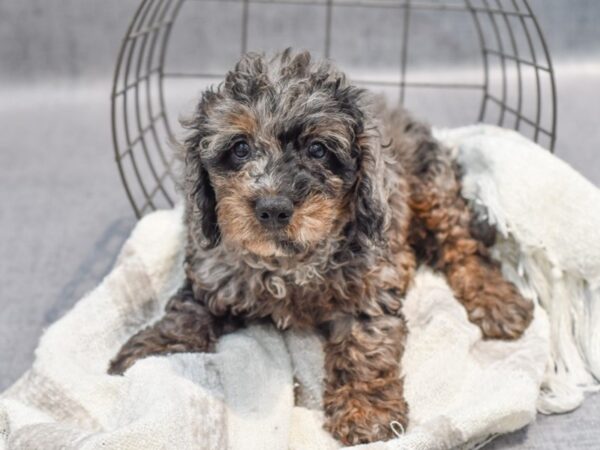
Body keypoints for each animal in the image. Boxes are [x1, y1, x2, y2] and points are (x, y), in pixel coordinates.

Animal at [109, 50, 536, 446]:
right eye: (240, 148)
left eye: (317, 150)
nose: (273, 208)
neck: (290, 262)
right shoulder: (213, 274)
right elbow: (185, 314)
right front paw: (147, 352)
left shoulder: (369, 284)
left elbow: (365, 343)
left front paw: (366, 409)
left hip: (434, 190)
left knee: (463, 246)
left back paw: (497, 301)